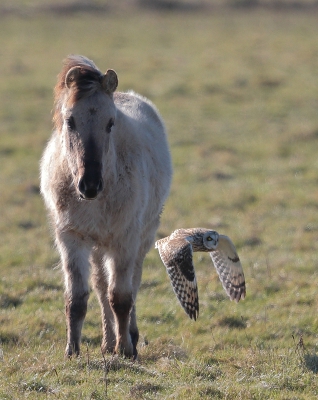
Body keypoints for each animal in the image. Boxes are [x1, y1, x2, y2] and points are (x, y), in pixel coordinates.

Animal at [41, 54, 174, 358]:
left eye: (110, 122)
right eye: (70, 121)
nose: (89, 184)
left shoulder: (125, 239)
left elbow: (122, 297)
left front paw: (125, 349)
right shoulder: (71, 239)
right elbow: (77, 298)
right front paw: (72, 351)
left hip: (141, 237)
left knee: (131, 283)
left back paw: (128, 338)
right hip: (99, 246)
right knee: (101, 287)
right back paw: (106, 341)